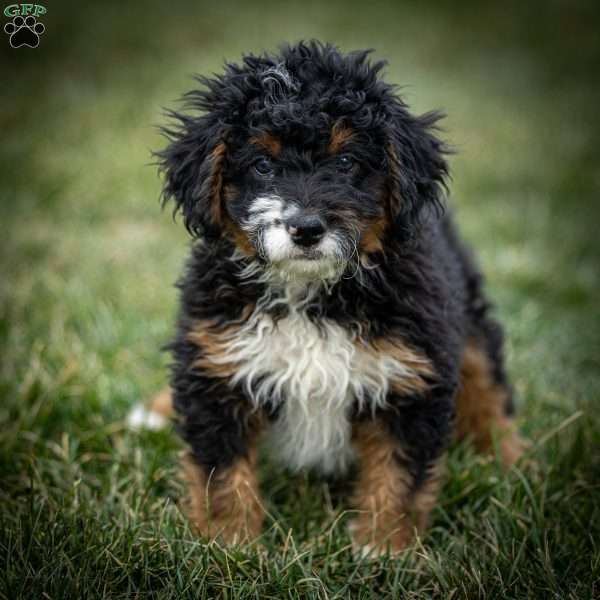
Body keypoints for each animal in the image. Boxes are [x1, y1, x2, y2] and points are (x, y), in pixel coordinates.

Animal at [145, 41, 524, 556]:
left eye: (345, 163)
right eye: (263, 165)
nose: (306, 228)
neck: (311, 292)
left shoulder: (411, 375)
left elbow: (397, 476)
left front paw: (384, 548)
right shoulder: (215, 367)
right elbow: (221, 473)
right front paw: (229, 546)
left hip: (465, 314)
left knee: (488, 387)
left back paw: (512, 464)